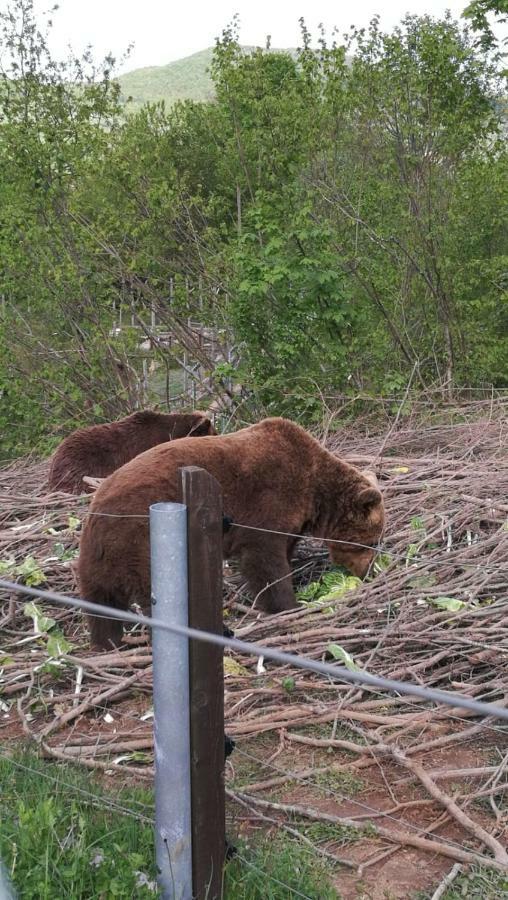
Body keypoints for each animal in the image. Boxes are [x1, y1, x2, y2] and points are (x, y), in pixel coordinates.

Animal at [77, 418, 382, 652]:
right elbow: (265, 561)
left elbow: (282, 550)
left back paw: (108, 642)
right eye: (370, 543)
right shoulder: (269, 500)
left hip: (98, 559)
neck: (316, 494)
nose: (368, 571)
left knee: (101, 604)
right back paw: (215, 631)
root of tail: (94, 513)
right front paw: (289, 605)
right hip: (141, 536)